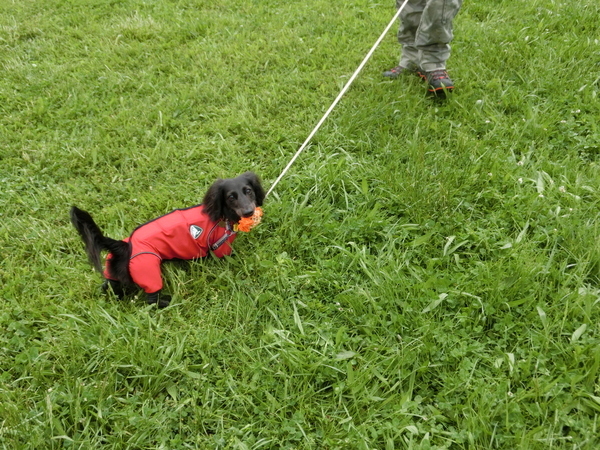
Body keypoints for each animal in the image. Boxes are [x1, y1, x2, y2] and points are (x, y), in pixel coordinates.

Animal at [69, 171, 262, 306]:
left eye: (249, 191)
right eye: (231, 197)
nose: (249, 212)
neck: (221, 217)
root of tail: (125, 245)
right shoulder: (221, 248)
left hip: (114, 273)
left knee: (109, 286)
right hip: (148, 270)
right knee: (151, 300)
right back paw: (169, 302)